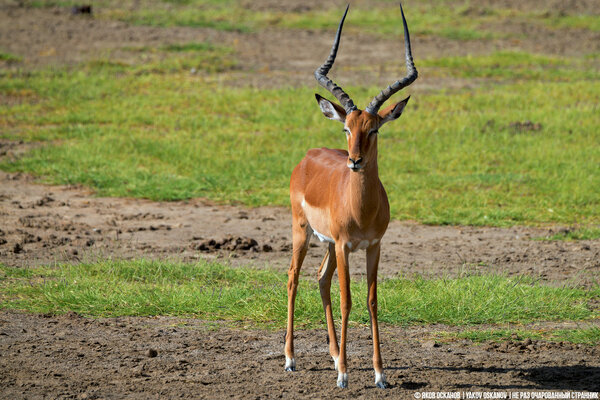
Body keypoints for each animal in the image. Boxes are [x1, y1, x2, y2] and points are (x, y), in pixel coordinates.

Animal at [282, 3, 418, 390]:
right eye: (346, 128)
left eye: (374, 130)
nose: (354, 161)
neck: (363, 209)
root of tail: (309, 154)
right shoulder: (345, 245)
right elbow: (348, 300)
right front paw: (344, 374)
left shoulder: (373, 246)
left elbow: (372, 301)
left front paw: (380, 374)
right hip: (303, 232)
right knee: (293, 277)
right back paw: (292, 359)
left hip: (327, 243)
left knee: (320, 278)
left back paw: (331, 354)